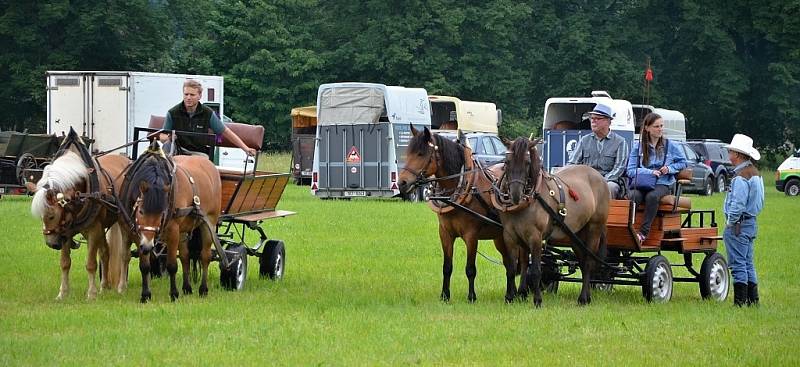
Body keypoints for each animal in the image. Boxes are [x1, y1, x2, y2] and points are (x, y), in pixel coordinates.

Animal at [27, 134, 131, 300]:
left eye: (51, 216)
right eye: (41, 216)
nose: (51, 244)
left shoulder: (93, 230)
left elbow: (90, 264)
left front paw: (91, 294)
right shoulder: (65, 231)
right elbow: (65, 263)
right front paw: (62, 293)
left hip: (122, 223)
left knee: (124, 255)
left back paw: (121, 286)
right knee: (105, 252)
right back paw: (104, 286)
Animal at [119, 142, 220, 304]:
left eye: (162, 213)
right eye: (141, 211)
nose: (147, 246)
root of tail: (209, 164)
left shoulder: (173, 231)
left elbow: (172, 265)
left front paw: (173, 294)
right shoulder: (137, 233)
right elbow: (144, 266)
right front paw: (145, 295)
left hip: (209, 222)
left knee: (205, 256)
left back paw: (203, 289)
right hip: (184, 229)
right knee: (185, 256)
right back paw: (187, 288)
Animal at [396, 128, 528, 304]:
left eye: (421, 154)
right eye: (408, 152)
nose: (402, 183)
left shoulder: (471, 235)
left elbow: (470, 268)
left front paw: (471, 297)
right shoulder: (445, 233)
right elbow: (447, 267)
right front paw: (445, 296)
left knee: (523, 261)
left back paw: (522, 292)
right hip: (500, 237)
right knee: (509, 263)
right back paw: (511, 293)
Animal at [496, 138, 608, 308]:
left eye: (527, 162)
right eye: (507, 161)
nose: (515, 194)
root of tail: (598, 175)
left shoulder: (535, 237)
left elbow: (535, 270)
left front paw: (537, 300)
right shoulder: (510, 236)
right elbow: (514, 267)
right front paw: (513, 296)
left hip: (594, 230)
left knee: (589, 262)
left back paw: (583, 298)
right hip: (576, 235)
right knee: (583, 263)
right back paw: (587, 296)